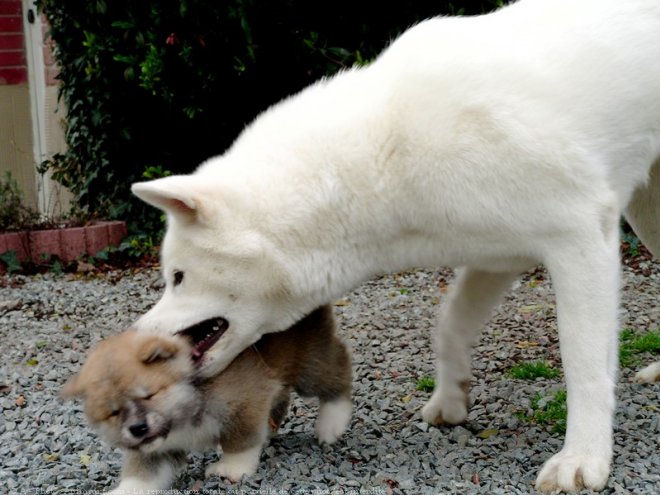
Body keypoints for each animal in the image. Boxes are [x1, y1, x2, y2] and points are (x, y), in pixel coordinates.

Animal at [63, 308, 350, 494]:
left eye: (148, 395)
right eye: (113, 412)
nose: (138, 428)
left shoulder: (243, 404)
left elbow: (239, 443)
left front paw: (231, 469)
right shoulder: (155, 450)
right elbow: (141, 476)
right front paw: (125, 490)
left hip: (310, 367)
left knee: (339, 373)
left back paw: (332, 424)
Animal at [130, 0, 660, 492]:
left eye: (177, 277)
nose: (137, 340)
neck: (386, 151)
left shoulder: (579, 240)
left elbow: (583, 364)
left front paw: (583, 459)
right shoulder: (496, 257)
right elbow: (449, 325)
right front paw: (451, 398)